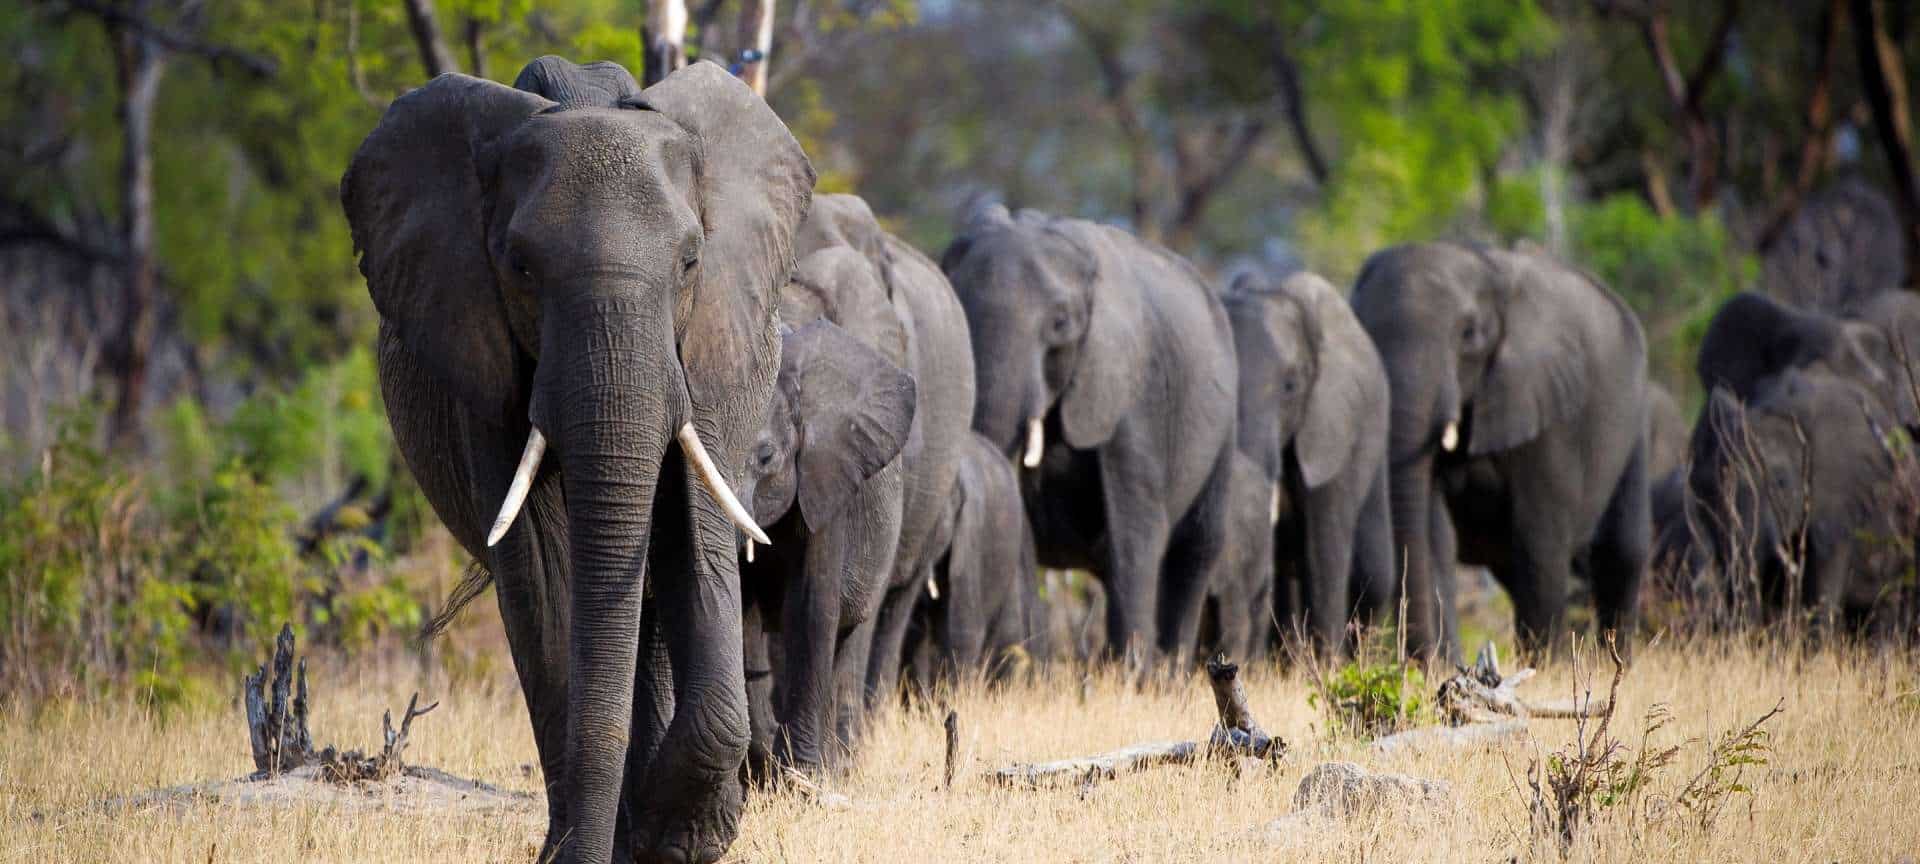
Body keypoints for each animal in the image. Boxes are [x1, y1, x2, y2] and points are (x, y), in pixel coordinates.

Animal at [341, 58, 813, 864]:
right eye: (520, 267)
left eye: (691, 260)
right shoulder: (479, 354)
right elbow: (541, 568)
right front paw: (616, 840)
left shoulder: (712, 342)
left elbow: (694, 537)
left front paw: (680, 836)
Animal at [737, 312, 915, 776]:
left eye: (766, 457)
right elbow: (742, 611)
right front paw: (763, 770)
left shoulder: (827, 481)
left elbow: (812, 606)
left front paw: (803, 777)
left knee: (844, 640)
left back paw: (838, 768)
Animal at [943, 204, 1238, 668]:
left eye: (1060, 323)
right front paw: (1036, 672)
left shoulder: (1130, 388)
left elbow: (1135, 529)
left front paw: (1129, 677)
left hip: (1224, 424)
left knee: (1195, 549)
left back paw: (1170, 672)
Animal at [1351, 243, 1652, 659]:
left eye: (1469, 334)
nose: (1422, 663)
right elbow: (1435, 533)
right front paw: (1447, 664)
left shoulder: (1548, 410)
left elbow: (1539, 537)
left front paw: (1547, 665)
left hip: (1634, 419)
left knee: (1621, 550)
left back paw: (1613, 659)